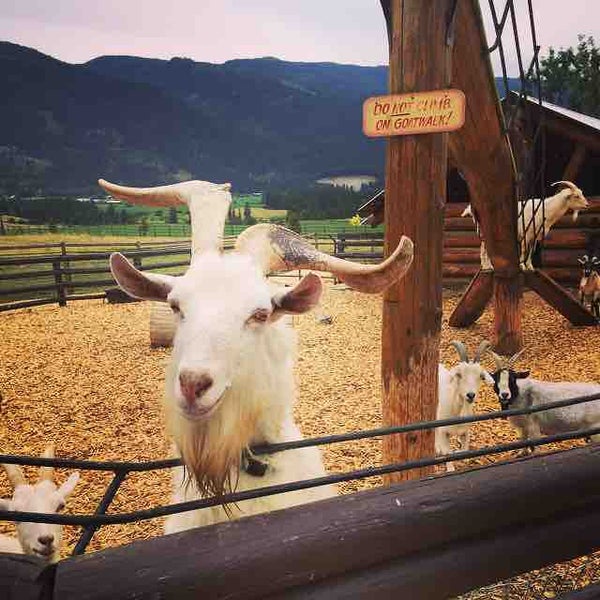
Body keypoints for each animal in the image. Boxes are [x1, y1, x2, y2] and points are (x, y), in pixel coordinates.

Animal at [436, 340, 492, 472]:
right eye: (459, 374)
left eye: (481, 376)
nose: (470, 395)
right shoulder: (443, 432)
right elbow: (447, 452)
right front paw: (450, 467)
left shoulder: (465, 431)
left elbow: (464, 450)